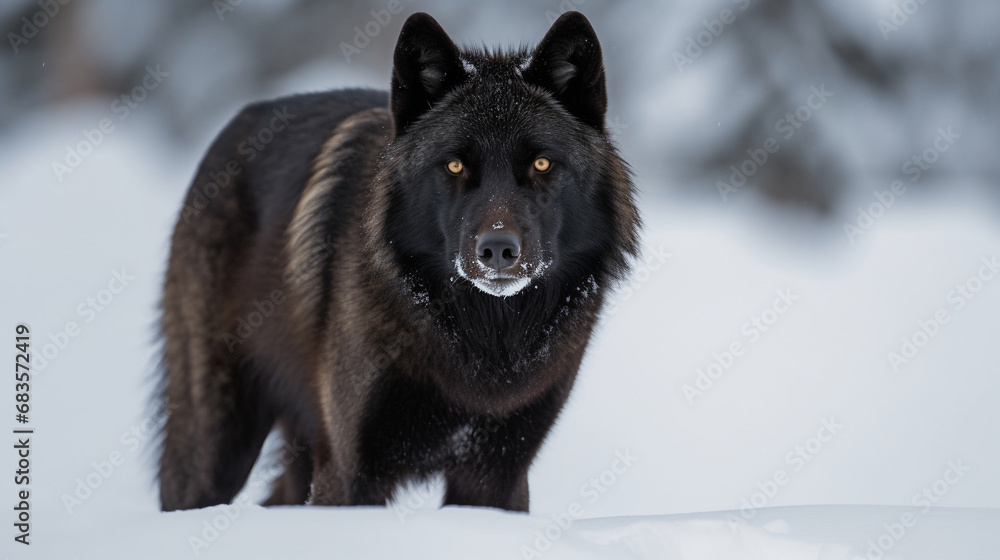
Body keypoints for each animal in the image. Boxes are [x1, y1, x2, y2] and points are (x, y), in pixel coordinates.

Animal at [157, 11, 639, 512]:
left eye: (542, 164)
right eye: (454, 165)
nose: (497, 250)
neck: (483, 337)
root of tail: (235, 124)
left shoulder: (496, 475)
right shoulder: (350, 468)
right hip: (215, 448)